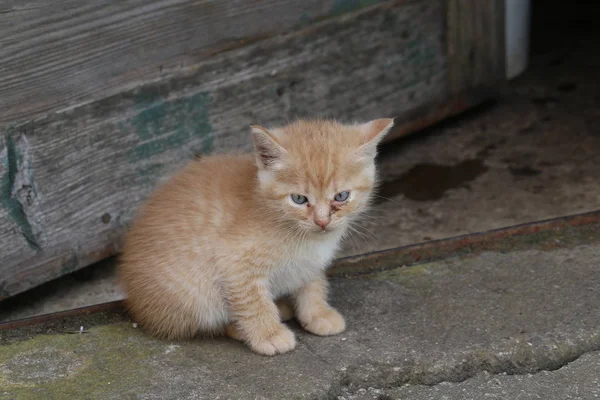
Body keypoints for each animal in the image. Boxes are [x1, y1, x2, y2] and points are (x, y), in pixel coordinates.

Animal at [119, 117, 396, 354]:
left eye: (341, 196)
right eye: (299, 199)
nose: (322, 221)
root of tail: (136, 304)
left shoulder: (310, 263)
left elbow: (312, 284)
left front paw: (317, 314)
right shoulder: (234, 262)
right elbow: (252, 302)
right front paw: (269, 335)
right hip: (194, 296)